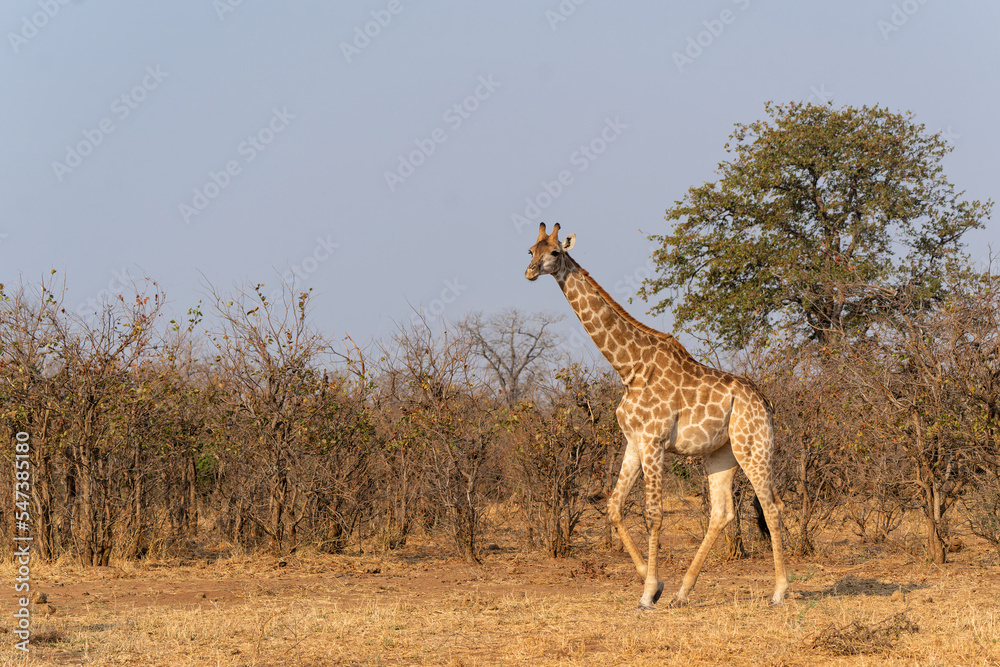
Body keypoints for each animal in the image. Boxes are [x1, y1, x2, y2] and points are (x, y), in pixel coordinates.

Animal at [525, 222, 787, 609]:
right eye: (531, 250)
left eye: (555, 252)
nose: (529, 272)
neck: (628, 367)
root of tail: (765, 402)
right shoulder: (634, 442)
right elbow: (614, 506)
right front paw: (657, 584)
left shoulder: (654, 441)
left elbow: (653, 515)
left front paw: (648, 592)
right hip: (720, 453)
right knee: (722, 512)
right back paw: (682, 592)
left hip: (752, 446)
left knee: (771, 506)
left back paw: (780, 591)